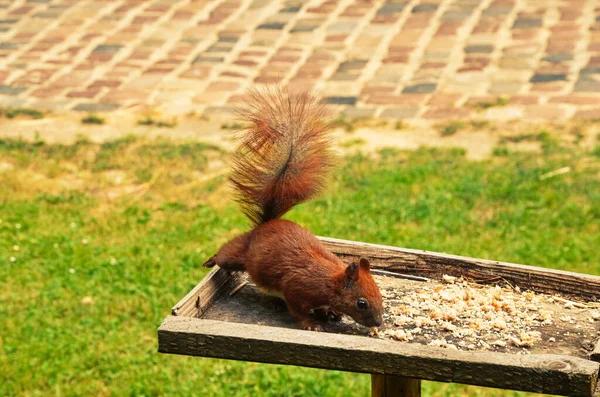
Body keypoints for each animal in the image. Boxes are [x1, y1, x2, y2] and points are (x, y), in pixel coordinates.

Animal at [204, 87, 384, 332]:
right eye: (361, 303)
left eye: (380, 294)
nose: (379, 323)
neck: (329, 281)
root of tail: (267, 224)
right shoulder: (297, 288)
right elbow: (298, 310)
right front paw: (311, 324)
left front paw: (329, 312)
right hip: (240, 253)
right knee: (226, 254)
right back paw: (211, 260)